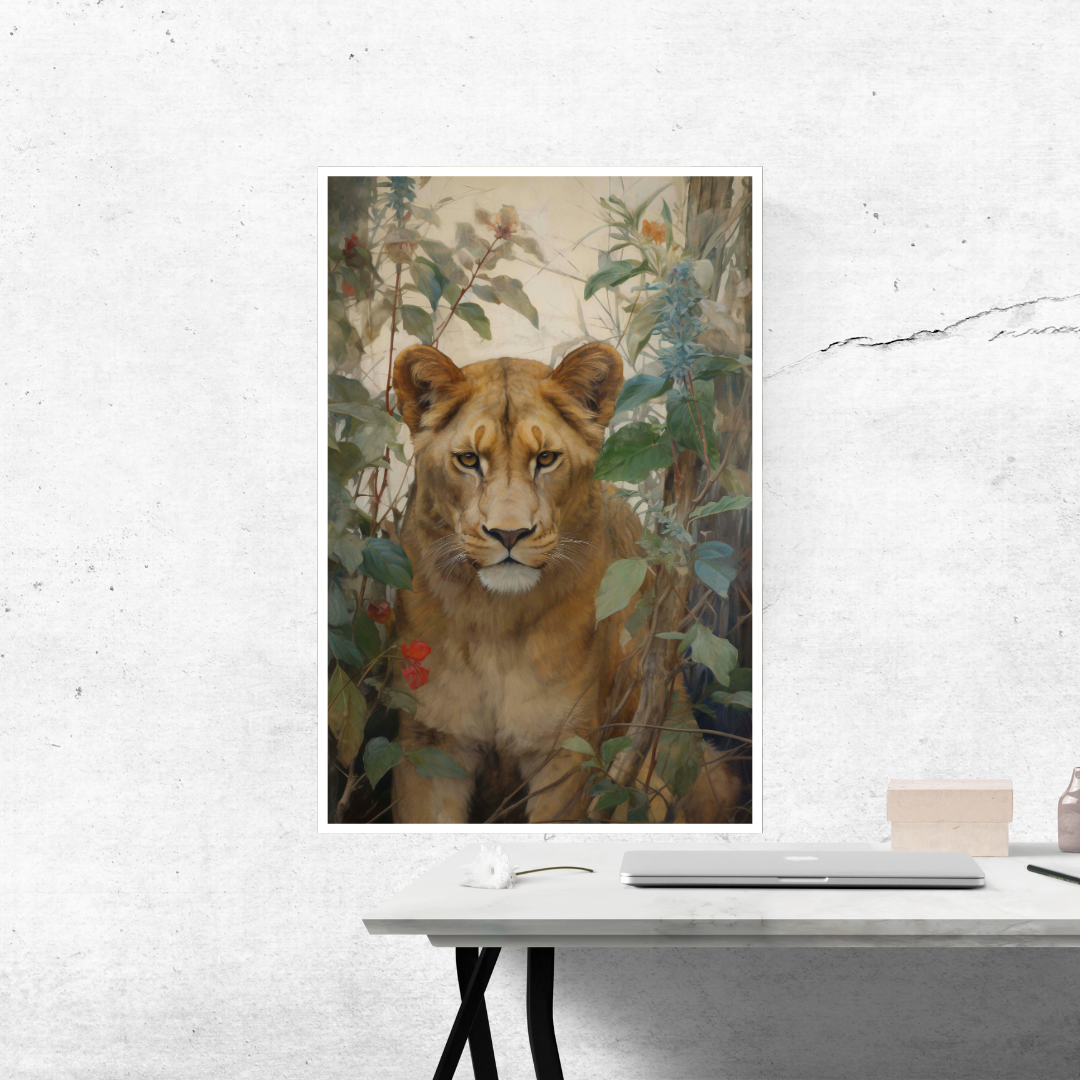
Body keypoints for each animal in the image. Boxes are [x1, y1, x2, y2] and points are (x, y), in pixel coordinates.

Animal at [388, 341, 741, 824]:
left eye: (545, 458)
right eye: (468, 460)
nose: (510, 534)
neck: (495, 622)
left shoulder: (565, 751)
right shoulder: (430, 743)